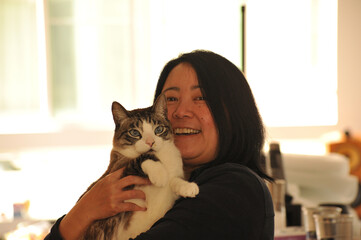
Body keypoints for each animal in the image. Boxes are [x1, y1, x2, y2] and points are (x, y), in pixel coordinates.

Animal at [78, 94, 200, 239]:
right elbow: (141, 158)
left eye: (159, 129)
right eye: (134, 133)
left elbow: (174, 179)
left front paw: (188, 187)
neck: (162, 158)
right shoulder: (116, 168)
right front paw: (160, 175)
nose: (150, 142)